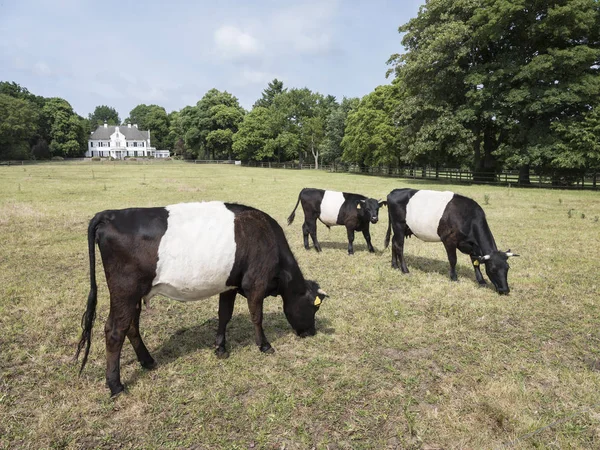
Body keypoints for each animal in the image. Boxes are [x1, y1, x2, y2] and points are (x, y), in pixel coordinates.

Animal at [76, 202, 328, 396]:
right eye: (313, 307)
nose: (311, 332)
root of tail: (109, 214)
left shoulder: (230, 284)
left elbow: (224, 315)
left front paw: (220, 348)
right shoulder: (255, 283)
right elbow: (257, 316)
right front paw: (265, 345)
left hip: (134, 294)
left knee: (131, 326)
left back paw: (147, 361)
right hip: (125, 290)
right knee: (114, 331)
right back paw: (115, 385)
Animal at [384, 188, 520, 294]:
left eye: (507, 268)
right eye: (492, 269)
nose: (505, 290)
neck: (468, 218)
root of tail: (393, 191)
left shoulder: (473, 246)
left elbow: (475, 262)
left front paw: (481, 280)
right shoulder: (449, 240)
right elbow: (453, 260)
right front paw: (454, 278)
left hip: (400, 229)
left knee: (394, 243)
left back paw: (394, 265)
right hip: (399, 225)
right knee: (399, 246)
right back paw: (405, 269)